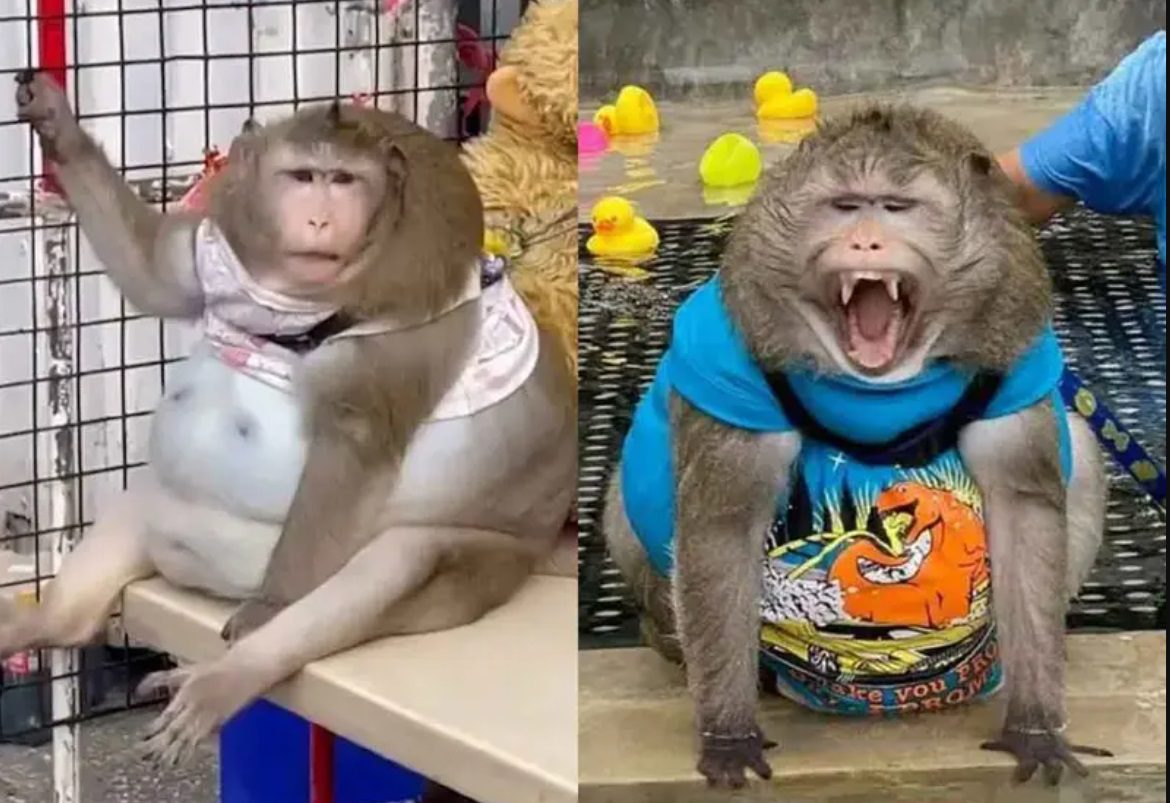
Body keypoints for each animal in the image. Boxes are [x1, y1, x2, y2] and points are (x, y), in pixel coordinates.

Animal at [3, 70, 576, 766]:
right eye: (303, 176)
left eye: (346, 181)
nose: (321, 218)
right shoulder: (218, 252)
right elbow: (158, 275)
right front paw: (54, 122)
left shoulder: (407, 331)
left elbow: (353, 446)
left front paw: (269, 607)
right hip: (159, 512)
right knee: (137, 513)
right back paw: (49, 620)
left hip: (483, 561)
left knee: (399, 562)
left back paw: (226, 676)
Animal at [602, 104, 1114, 790]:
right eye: (844, 206)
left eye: (896, 208)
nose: (865, 241)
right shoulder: (731, 371)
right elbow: (722, 526)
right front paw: (728, 735)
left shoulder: (1016, 355)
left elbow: (1025, 509)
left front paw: (1035, 727)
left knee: (1080, 452)